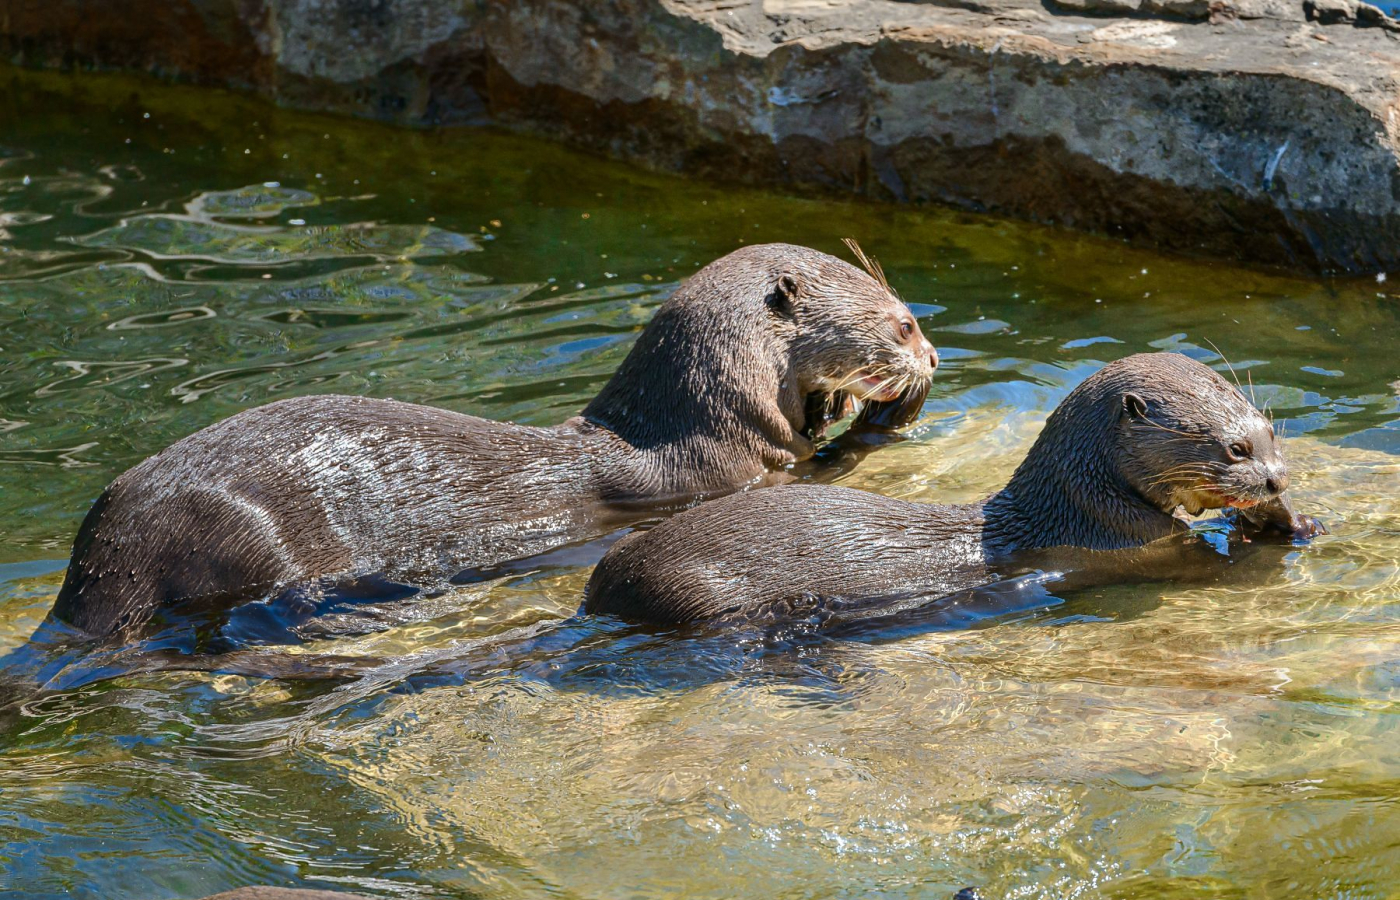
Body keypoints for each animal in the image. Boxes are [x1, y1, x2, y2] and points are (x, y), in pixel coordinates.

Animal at [51, 243, 940, 643]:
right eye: (903, 322)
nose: (933, 355)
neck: (686, 423)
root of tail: (107, 550)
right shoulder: (736, 472)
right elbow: (819, 469)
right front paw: (876, 421)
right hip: (247, 540)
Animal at [585, 354, 1327, 627]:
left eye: (1269, 431)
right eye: (1234, 449)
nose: (1276, 477)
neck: (1075, 511)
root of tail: (600, 587)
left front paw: (1297, 522)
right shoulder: (1134, 544)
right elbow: (1203, 563)